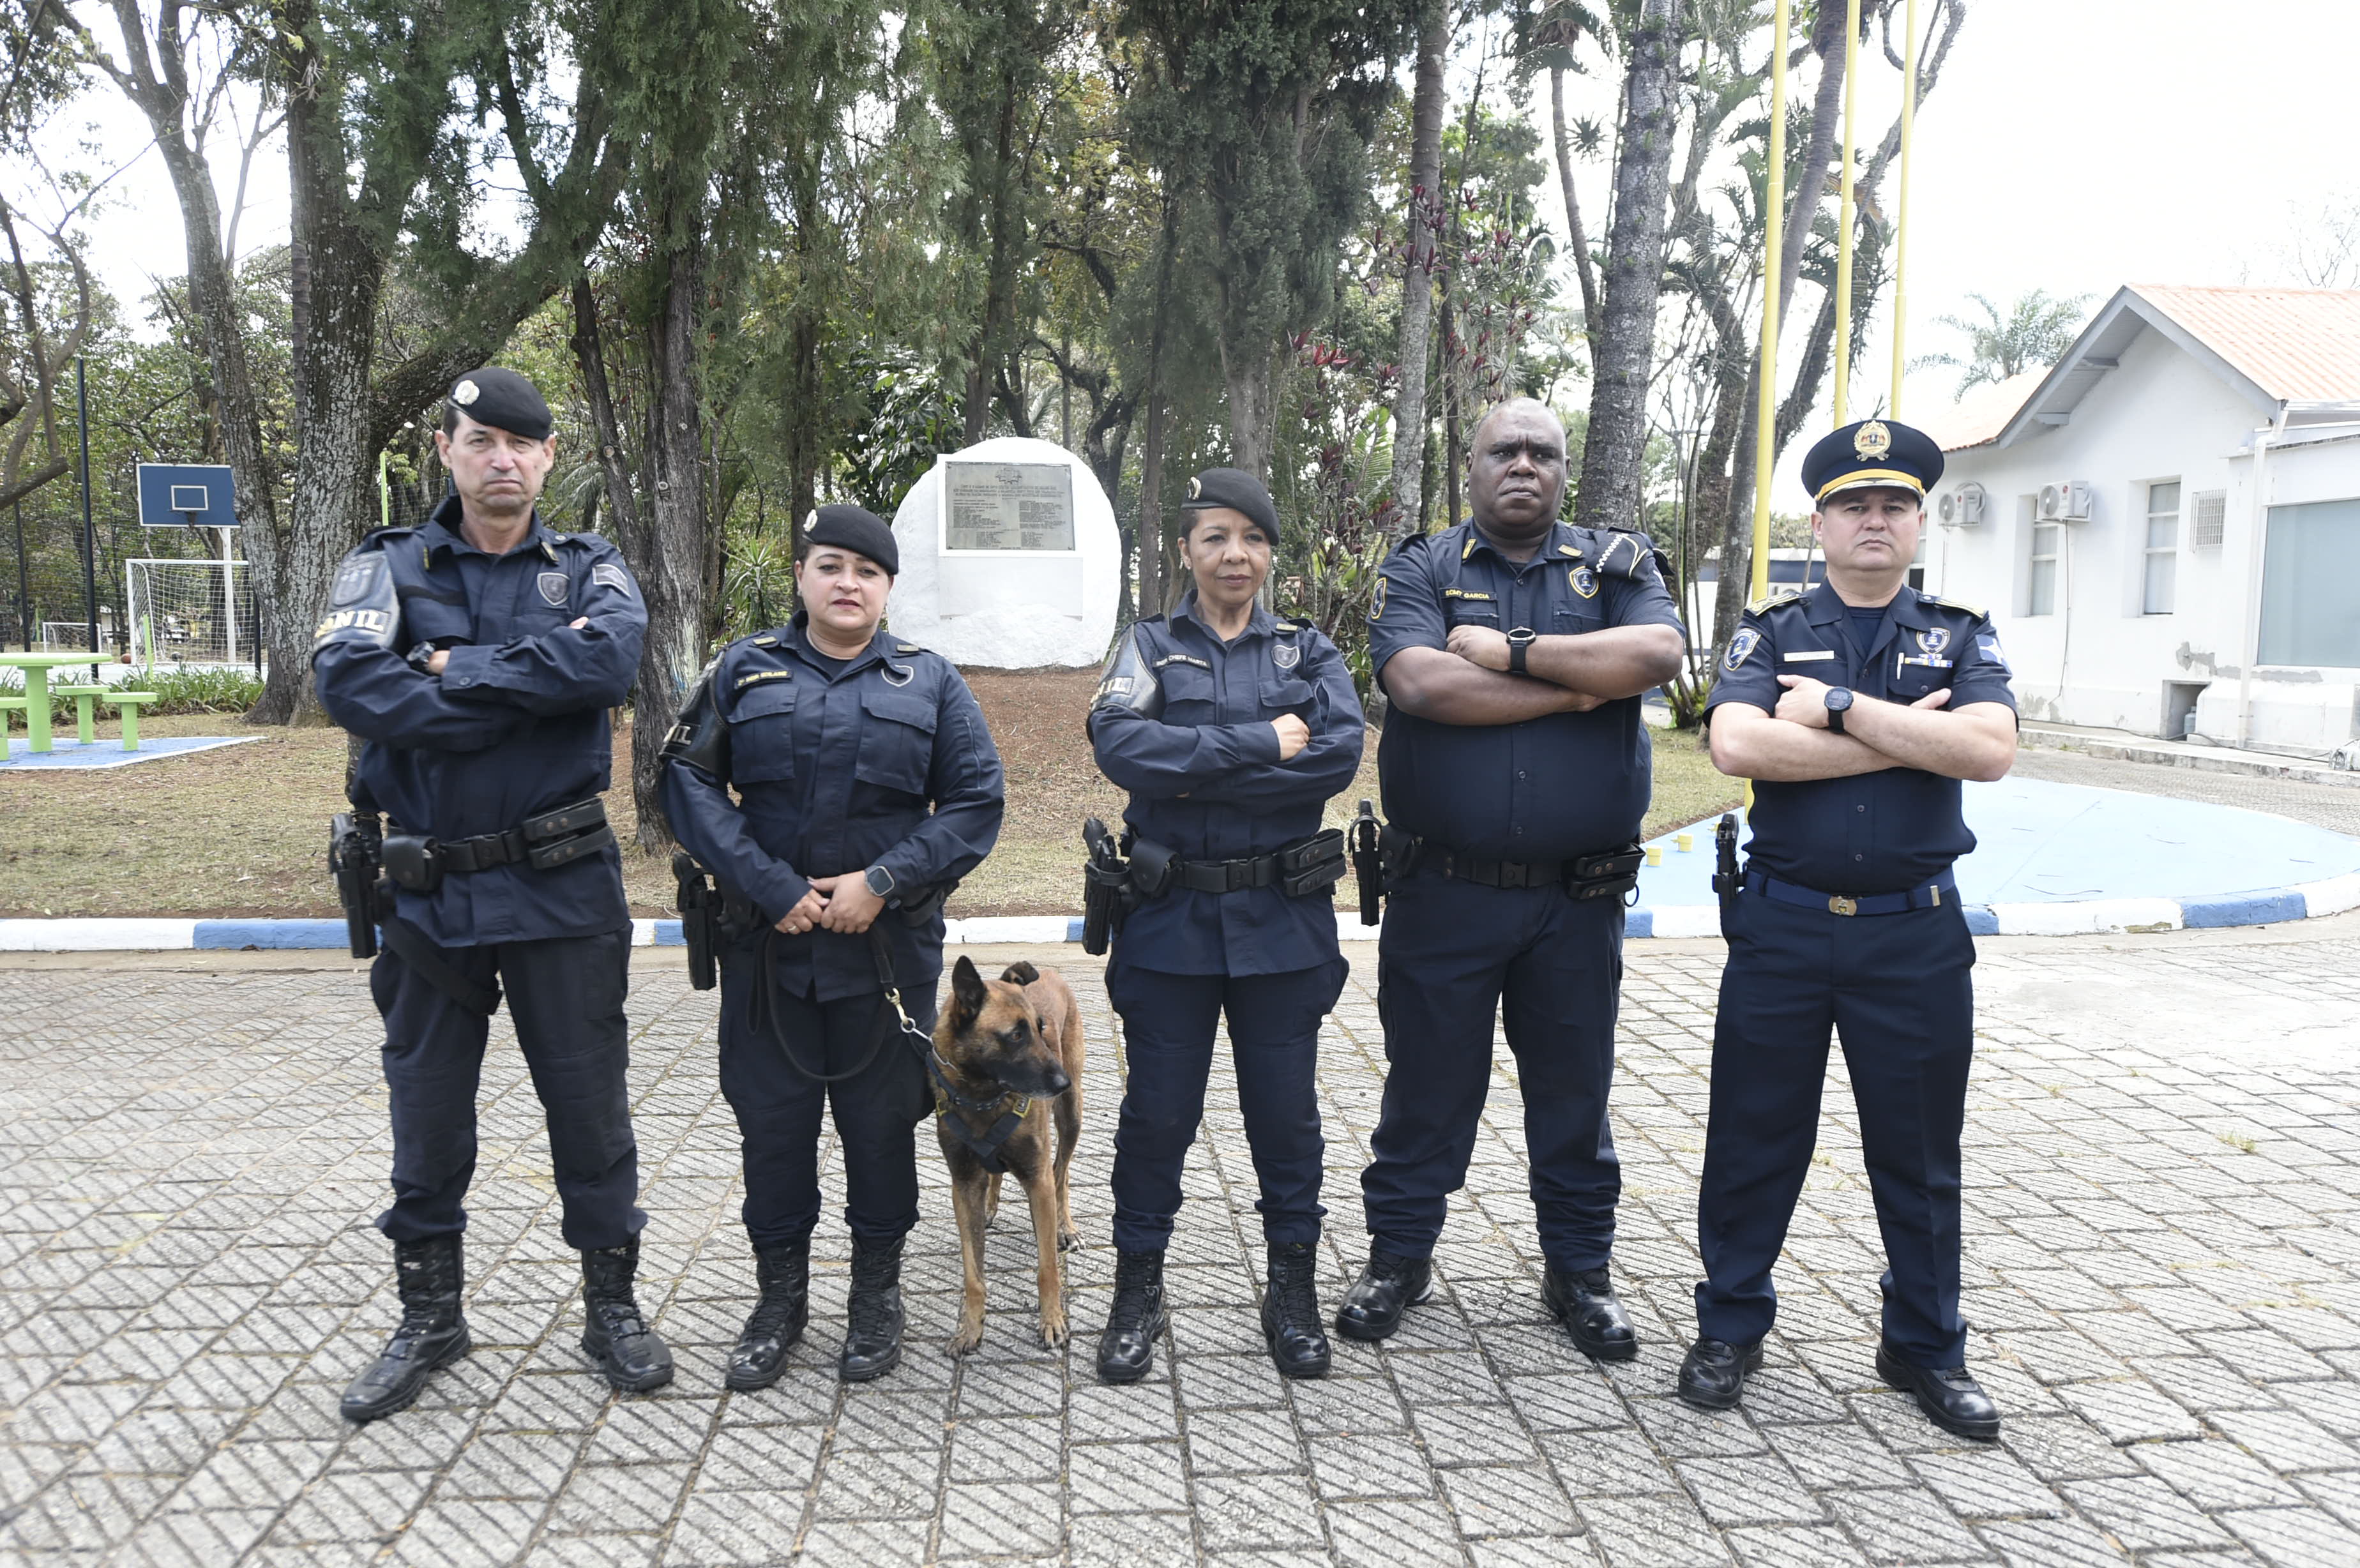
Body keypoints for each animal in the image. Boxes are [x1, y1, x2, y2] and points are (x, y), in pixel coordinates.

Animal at [932, 955, 1084, 1355]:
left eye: (1040, 1028)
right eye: (1015, 1035)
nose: (1061, 1082)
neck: (984, 1095)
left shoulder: (1037, 1178)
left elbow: (1047, 1268)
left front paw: (1052, 1322)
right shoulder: (963, 1185)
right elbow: (973, 1274)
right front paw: (970, 1329)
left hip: (1071, 1117)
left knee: (1062, 1173)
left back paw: (1065, 1228)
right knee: (998, 1172)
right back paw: (991, 1207)